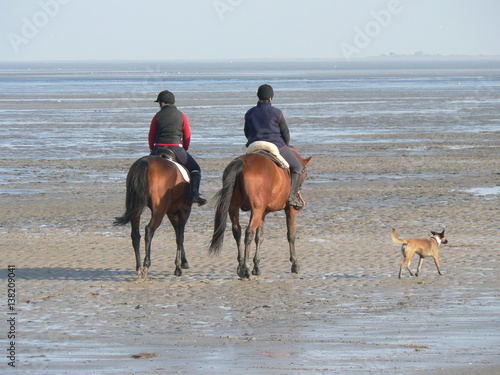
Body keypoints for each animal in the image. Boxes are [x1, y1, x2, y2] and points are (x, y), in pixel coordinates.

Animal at [208, 148, 310, 278]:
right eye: (304, 172)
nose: (299, 192)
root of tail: (243, 162)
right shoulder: (290, 210)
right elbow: (291, 235)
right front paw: (295, 263)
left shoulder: (263, 213)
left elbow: (259, 237)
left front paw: (256, 266)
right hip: (255, 210)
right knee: (249, 232)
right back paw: (246, 268)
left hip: (235, 208)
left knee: (237, 231)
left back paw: (241, 266)